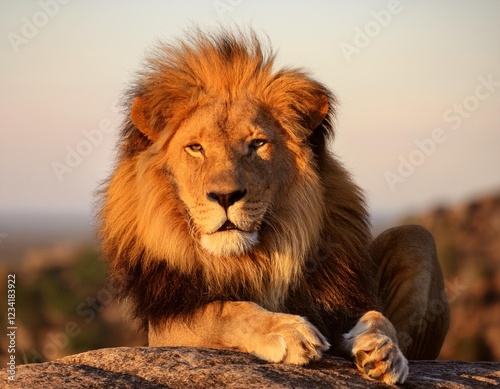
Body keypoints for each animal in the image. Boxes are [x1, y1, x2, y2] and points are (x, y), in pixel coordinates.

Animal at [97, 28, 450, 384]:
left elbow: (379, 317)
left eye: (257, 144)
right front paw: (288, 331)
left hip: (416, 237)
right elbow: (223, 311)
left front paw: (382, 349)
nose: (225, 197)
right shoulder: (167, 323)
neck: (251, 260)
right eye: (195, 148)